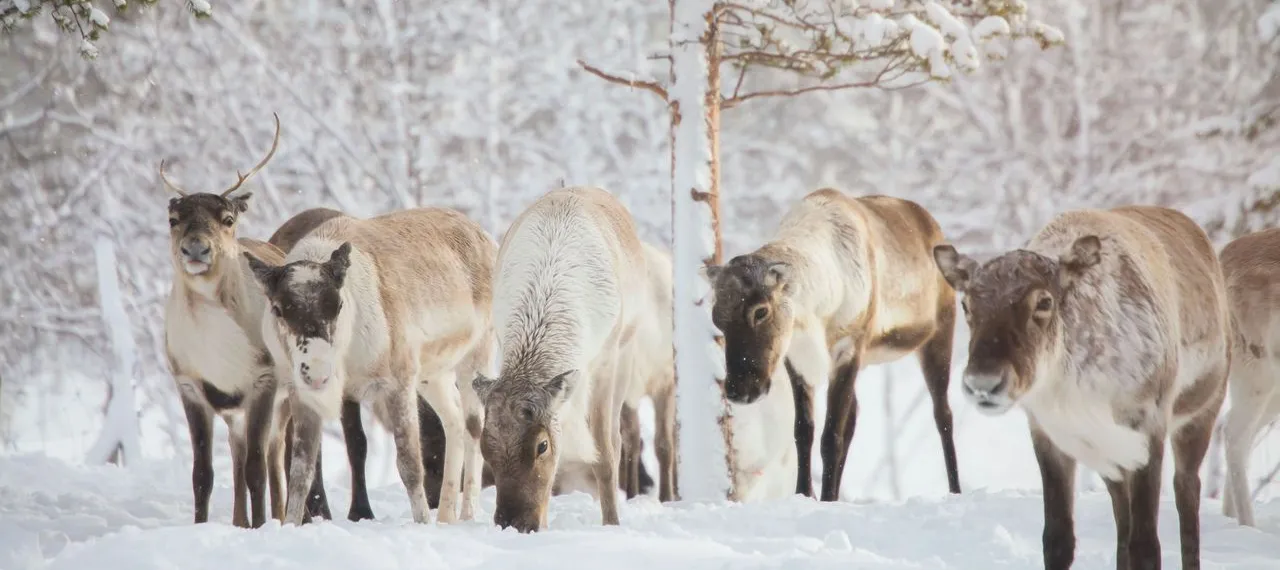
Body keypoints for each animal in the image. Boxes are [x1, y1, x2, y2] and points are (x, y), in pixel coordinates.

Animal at [162, 112, 328, 527]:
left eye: (227, 218)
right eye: (173, 218)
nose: (196, 248)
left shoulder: (263, 379)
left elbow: (257, 469)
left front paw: (262, 525)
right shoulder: (188, 382)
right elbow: (202, 473)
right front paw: (202, 526)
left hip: (285, 395)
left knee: (272, 456)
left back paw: (277, 516)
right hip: (233, 410)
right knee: (238, 456)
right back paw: (239, 520)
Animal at [246, 206, 495, 526]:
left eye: (337, 305)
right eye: (278, 309)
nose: (317, 373)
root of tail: (484, 236)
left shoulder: (399, 382)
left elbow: (409, 464)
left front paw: (422, 522)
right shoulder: (302, 395)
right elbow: (301, 470)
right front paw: (290, 524)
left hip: (476, 355)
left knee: (474, 424)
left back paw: (466, 514)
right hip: (432, 373)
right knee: (453, 417)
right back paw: (446, 515)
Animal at [471, 186, 646, 533]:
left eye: (542, 445)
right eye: (485, 446)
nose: (515, 523)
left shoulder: (605, 363)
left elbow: (605, 454)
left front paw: (612, 523)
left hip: (626, 356)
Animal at [705, 188, 961, 502]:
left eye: (760, 311)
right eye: (717, 318)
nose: (740, 390)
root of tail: (933, 226)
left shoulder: (848, 348)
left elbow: (831, 437)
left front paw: (825, 496)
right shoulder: (797, 357)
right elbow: (804, 431)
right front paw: (805, 494)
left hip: (940, 333)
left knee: (943, 414)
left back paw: (955, 489)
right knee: (853, 417)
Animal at [933, 205, 1230, 570]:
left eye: (1044, 302)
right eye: (967, 305)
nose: (983, 383)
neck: (1078, 390)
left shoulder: (1148, 427)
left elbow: (1147, 546)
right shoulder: (1054, 437)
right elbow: (1057, 540)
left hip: (1202, 413)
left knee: (1187, 493)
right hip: (1109, 458)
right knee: (1122, 514)